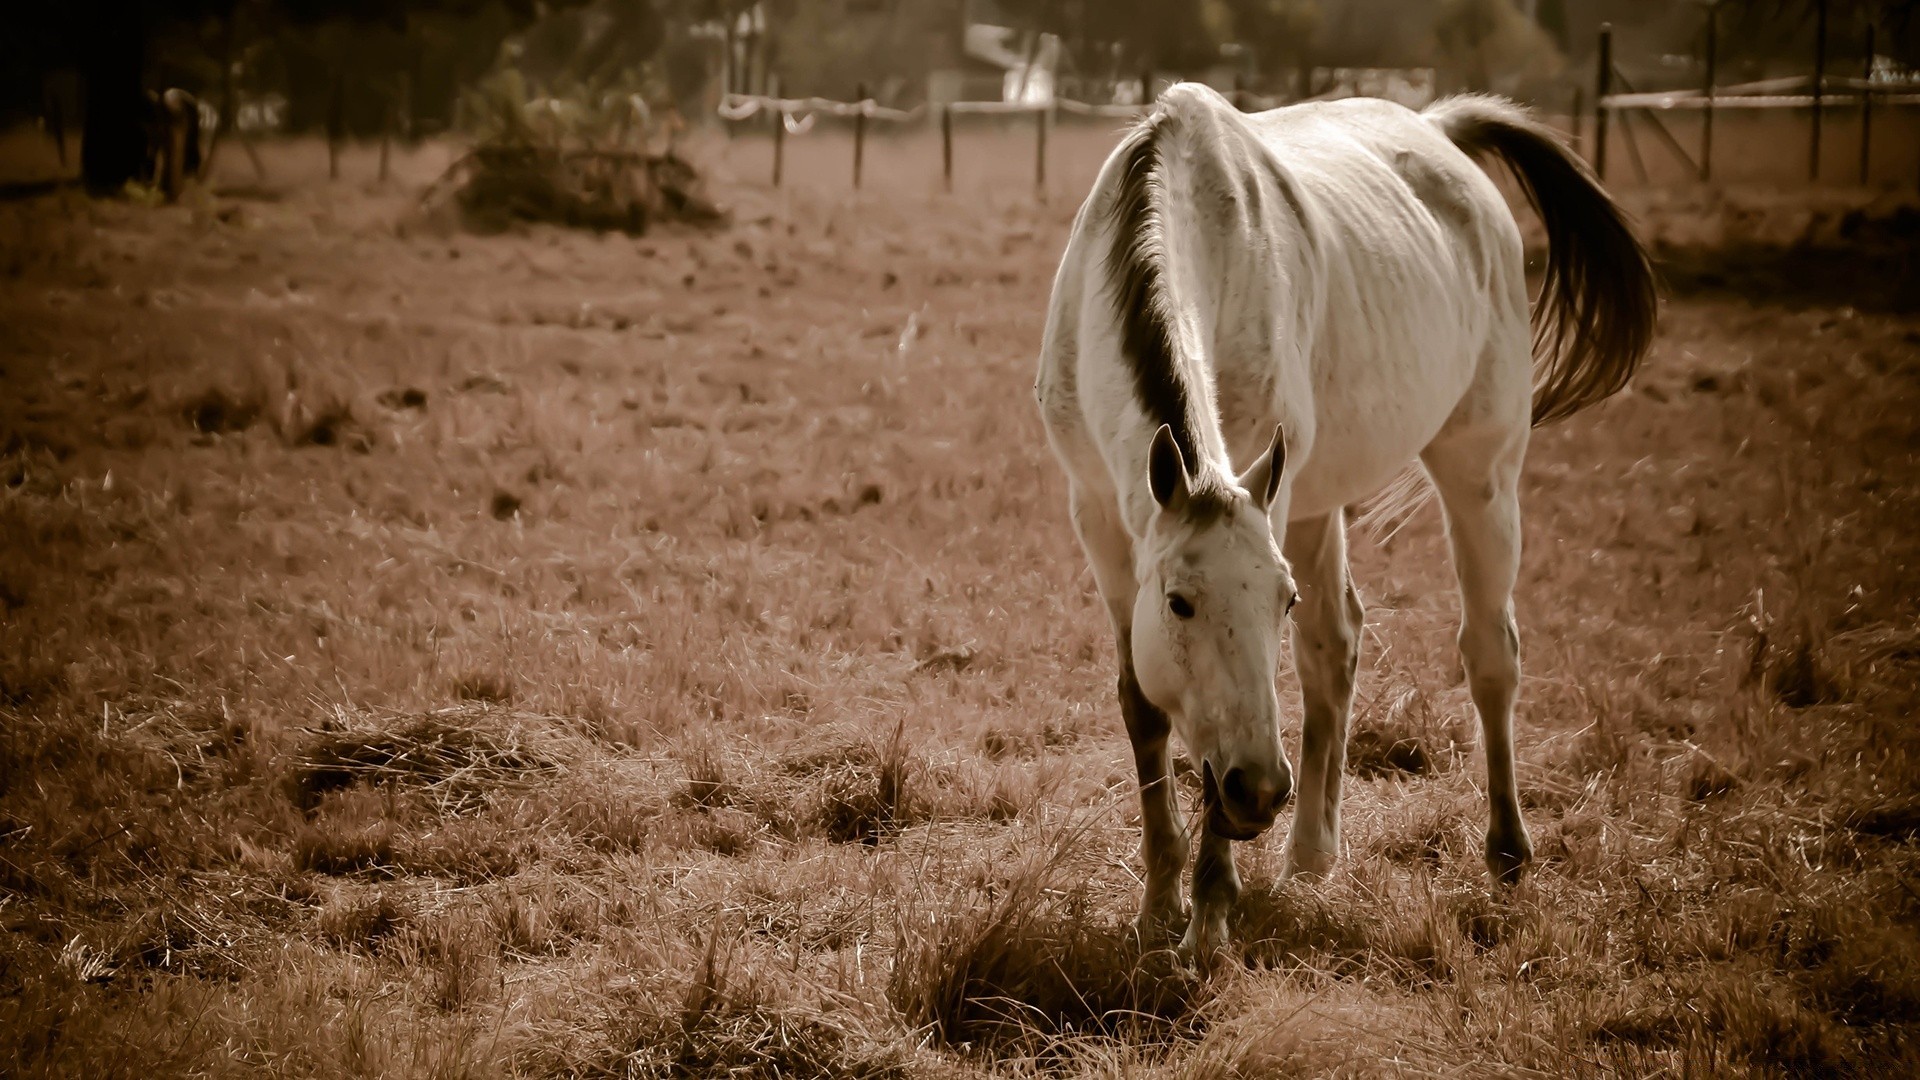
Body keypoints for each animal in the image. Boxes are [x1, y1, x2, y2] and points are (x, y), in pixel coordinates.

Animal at [1044, 85, 1658, 957]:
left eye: (1280, 602)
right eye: (1179, 604)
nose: (1258, 789)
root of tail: (1439, 130)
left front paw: (1208, 915)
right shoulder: (1099, 515)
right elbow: (1145, 705)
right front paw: (1160, 904)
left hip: (1480, 474)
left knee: (1488, 654)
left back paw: (1506, 850)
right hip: (1315, 503)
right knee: (1335, 652)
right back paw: (1310, 855)